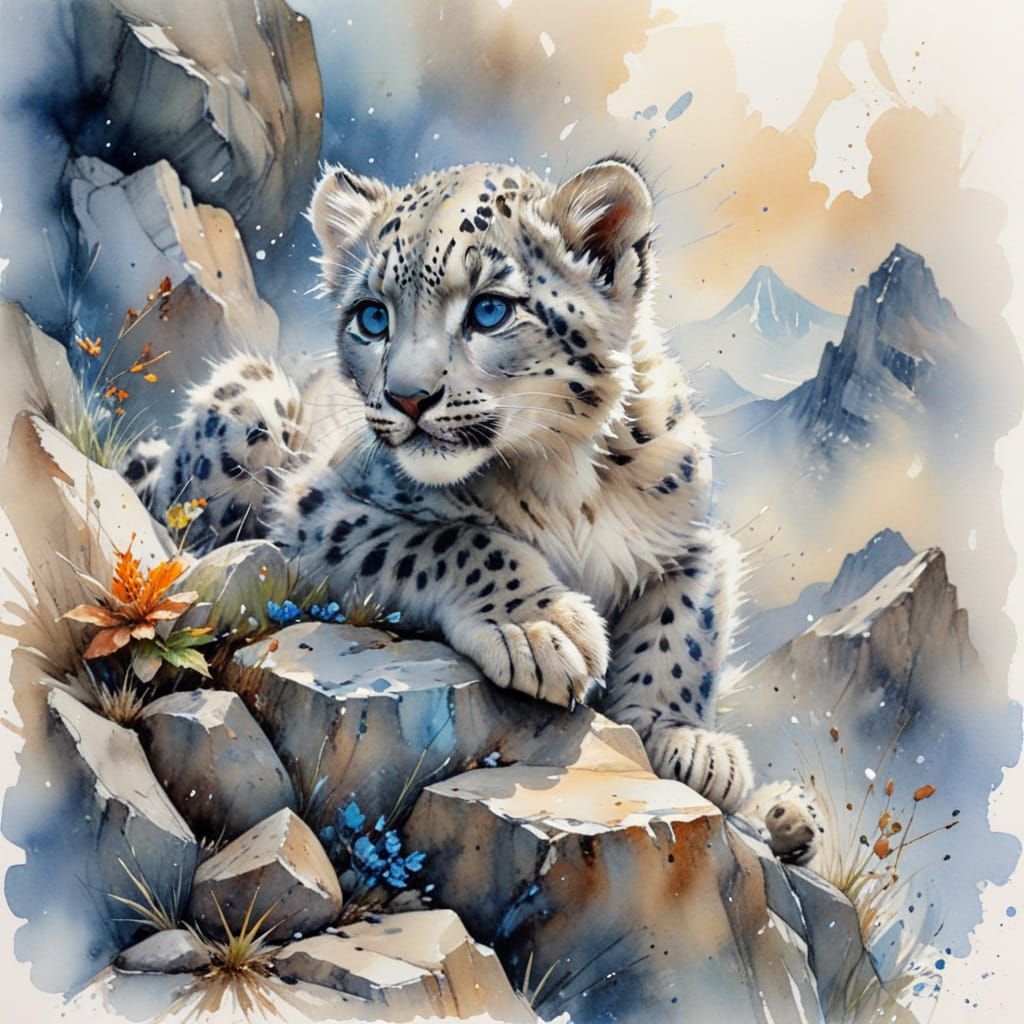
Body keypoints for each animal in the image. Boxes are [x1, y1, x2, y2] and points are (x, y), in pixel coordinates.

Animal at [134, 157, 821, 863]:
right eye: (372, 317)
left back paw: (786, 814)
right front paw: (541, 629)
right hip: (252, 401)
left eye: (491, 309)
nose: (408, 397)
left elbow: (685, 626)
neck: (564, 477)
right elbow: (456, 539)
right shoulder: (318, 508)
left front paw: (683, 738)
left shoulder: (694, 538)